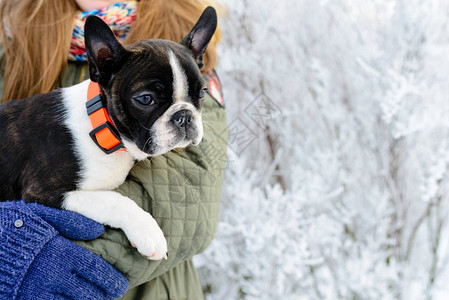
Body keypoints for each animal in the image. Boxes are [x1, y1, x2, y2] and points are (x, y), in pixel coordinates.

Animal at [0, 7, 217, 260]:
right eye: (145, 99)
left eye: (202, 93)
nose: (183, 116)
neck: (104, 132)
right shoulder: (42, 192)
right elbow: (114, 200)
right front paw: (148, 232)